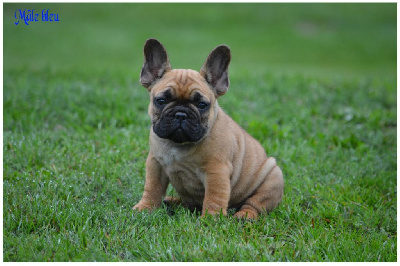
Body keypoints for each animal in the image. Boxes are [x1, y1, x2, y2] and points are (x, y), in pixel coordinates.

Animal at [133, 39, 282, 218]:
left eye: (202, 105)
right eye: (161, 101)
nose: (181, 114)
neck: (179, 145)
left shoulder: (216, 171)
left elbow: (214, 197)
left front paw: (210, 218)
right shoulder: (155, 164)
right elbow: (152, 187)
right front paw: (145, 207)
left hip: (273, 178)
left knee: (255, 204)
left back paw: (245, 216)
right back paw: (173, 201)